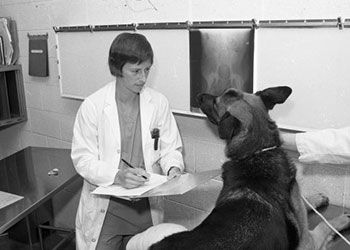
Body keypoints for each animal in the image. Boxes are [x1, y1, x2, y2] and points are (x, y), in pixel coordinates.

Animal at [151, 86, 350, 250]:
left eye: (216, 102)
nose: (198, 95)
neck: (257, 153)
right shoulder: (306, 242)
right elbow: (323, 224)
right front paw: (343, 218)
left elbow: (308, 207)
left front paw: (317, 198)